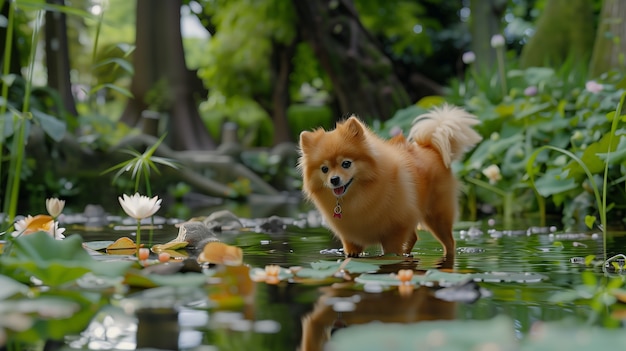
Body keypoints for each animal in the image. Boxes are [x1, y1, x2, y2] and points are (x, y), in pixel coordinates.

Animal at [296, 104, 478, 256]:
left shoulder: (395, 231)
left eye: (346, 163)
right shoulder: (350, 240)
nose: (334, 179)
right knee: (414, 238)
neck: (359, 196)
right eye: (324, 169)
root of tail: (431, 148)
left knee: (449, 243)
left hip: (437, 217)